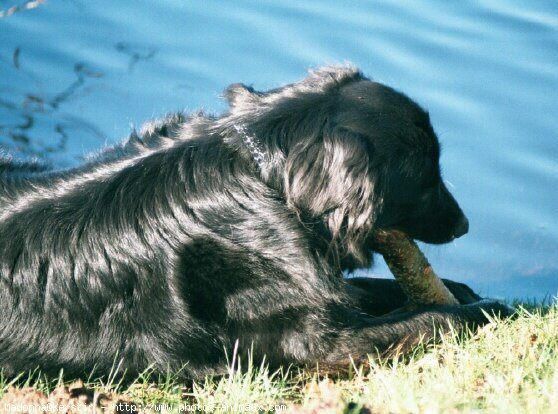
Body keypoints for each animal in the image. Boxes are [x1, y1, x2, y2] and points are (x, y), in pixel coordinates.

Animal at [0, 66, 510, 380]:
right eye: (426, 175)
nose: (465, 225)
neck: (265, 177)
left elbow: (377, 292)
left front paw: (460, 289)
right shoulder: (322, 343)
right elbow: (430, 320)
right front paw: (493, 309)